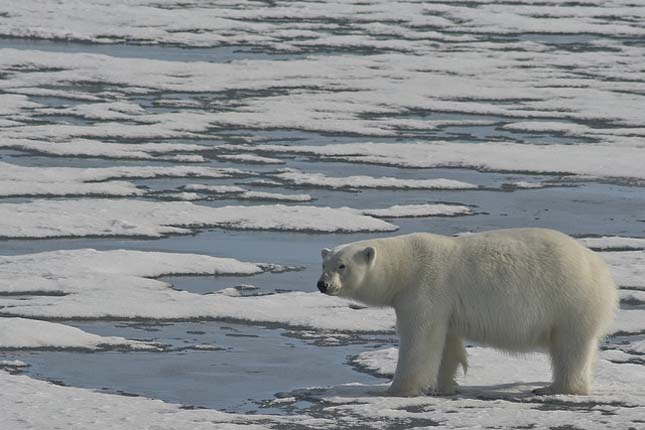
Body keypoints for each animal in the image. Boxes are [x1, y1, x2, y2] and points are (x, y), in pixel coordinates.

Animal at [320, 228, 616, 396]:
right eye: (325, 263)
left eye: (342, 265)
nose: (322, 284)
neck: (406, 266)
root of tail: (604, 273)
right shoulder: (445, 305)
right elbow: (447, 343)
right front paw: (444, 386)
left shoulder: (426, 288)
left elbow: (419, 340)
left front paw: (397, 389)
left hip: (569, 300)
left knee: (570, 347)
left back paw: (554, 388)